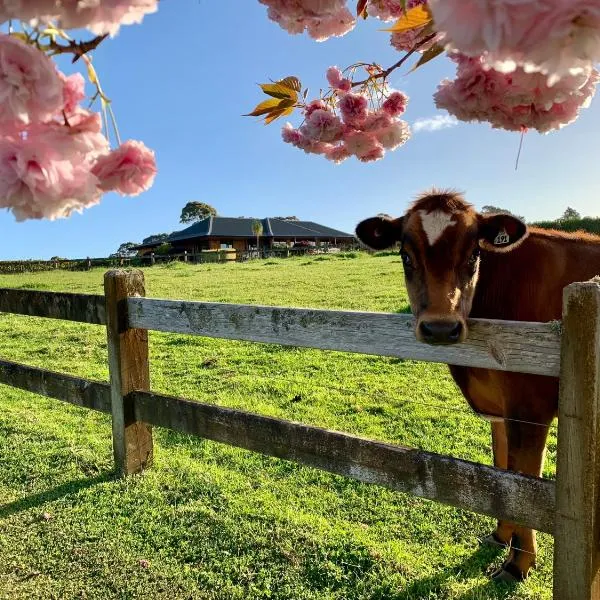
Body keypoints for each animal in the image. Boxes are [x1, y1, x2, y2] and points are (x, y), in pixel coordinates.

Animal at [354, 188, 600, 580]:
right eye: (405, 255)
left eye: (474, 254)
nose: (440, 328)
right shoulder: (500, 410)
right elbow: (502, 471)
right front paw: (501, 536)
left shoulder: (530, 409)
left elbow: (524, 483)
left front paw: (518, 564)